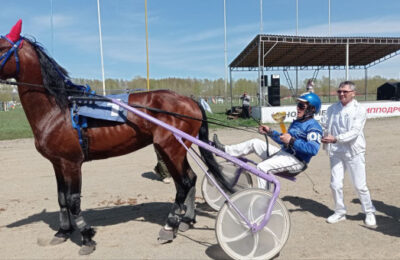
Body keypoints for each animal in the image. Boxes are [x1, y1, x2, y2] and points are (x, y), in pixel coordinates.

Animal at [0, 19, 228, 254]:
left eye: (2, 47)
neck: (59, 109)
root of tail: (190, 100)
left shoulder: (72, 163)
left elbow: (73, 200)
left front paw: (86, 236)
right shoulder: (57, 163)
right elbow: (62, 198)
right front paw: (62, 231)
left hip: (170, 148)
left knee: (183, 183)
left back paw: (169, 227)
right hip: (176, 150)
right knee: (190, 179)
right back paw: (187, 220)